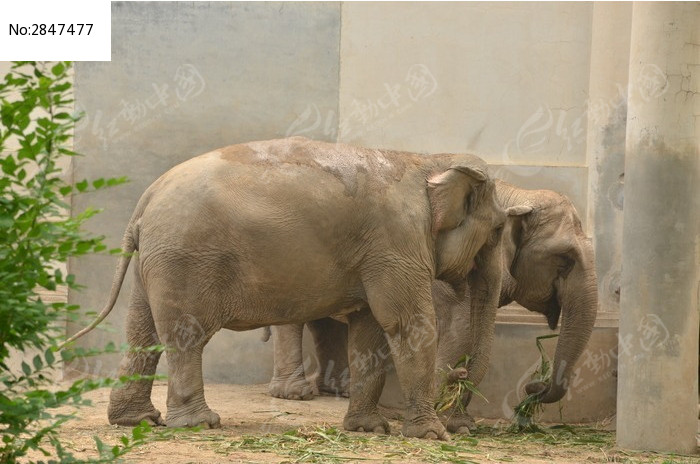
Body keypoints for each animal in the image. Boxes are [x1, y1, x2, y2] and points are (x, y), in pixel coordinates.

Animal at [63, 136, 506, 440]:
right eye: (500, 229)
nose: (461, 423)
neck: (426, 159)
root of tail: (146, 200)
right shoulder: (396, 240)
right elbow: (408, 324)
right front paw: (432, 436)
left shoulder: (381, 253)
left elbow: (368, 329)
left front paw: (368, 429)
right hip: (185, 258)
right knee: (186, 337)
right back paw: (199, 424)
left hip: (154, 260)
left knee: (142, 331)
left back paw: (137, 421)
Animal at [266, 179, 596, 430]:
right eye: (564, 259)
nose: (532, 387)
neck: (519, 193)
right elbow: (460, 334)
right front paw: (454, 421)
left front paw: (460, 423)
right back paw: (294, 395)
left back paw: (339, 391)